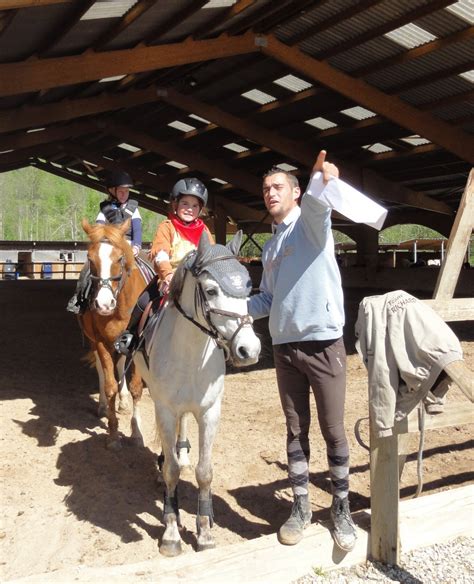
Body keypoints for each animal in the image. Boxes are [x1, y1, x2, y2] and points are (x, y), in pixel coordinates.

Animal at [78, 217, 146, 450]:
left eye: (119, 258)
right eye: (90, 259)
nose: (104, 304)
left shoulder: (136, 343)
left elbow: (136, 388)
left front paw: (136, 432)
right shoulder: (100, 342)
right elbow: (109, 386)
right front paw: (113, 434)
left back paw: (123, 402)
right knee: (102, 368)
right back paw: (102, 406)